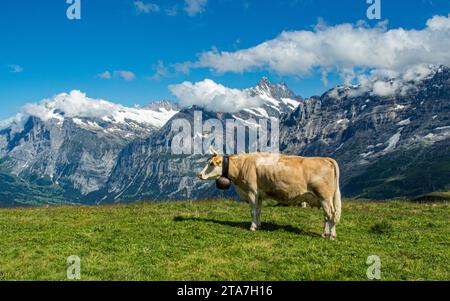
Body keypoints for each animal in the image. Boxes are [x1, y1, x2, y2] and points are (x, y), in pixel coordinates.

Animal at [197, 149, 342, 240]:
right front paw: (259, 225)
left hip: (324, 196)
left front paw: (252, 227)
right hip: (324, 198)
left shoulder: (251, 192)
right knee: (326, 216)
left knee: (331, 214)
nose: (199, 174)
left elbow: (253, 211)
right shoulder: (260, 194)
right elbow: (259, 211)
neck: (242, 165)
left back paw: (332, 236)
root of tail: (325, 159)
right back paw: (324, 233)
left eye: (211, 163)